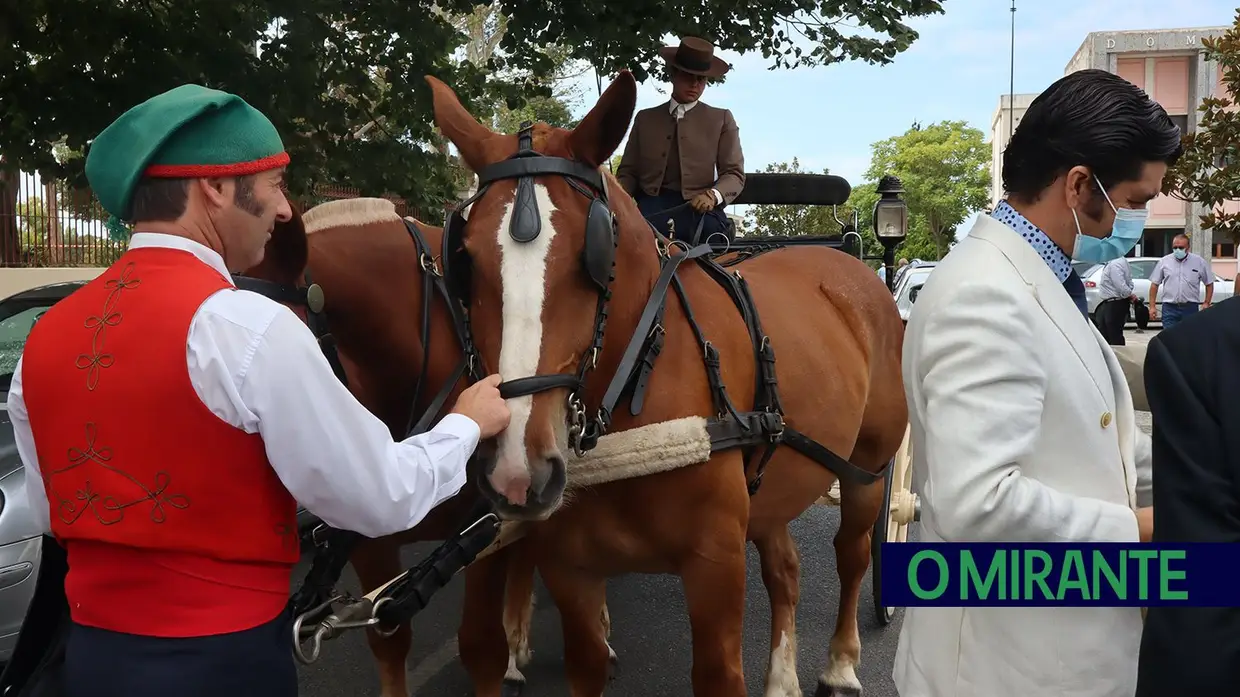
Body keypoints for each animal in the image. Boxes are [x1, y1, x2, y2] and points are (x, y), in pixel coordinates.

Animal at [431, 71, 907, 694]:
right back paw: (783, 675)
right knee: (785, 567)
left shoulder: (715, 563)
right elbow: (587, 662)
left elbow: (718, 672)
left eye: (594, 254)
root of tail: (853, 268)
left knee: (852, 551)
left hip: (867, 469)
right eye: (464, 256)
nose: (517, 469)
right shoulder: (570, 568)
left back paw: (842, 662)